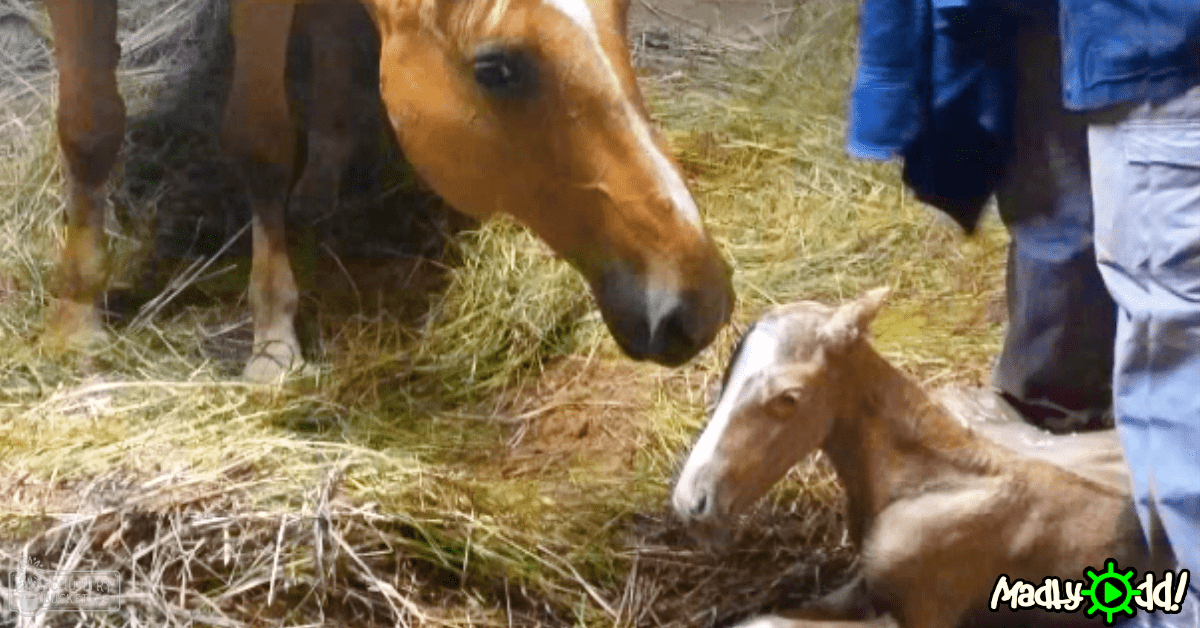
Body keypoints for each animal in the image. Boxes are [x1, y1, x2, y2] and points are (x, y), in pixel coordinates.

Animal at [41, 0, 735, 382]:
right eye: (497, 69)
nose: (701, 303)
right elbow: (88, 127)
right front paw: (76, 317)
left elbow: (260, 142)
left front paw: (273, 336)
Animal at [671, 289, 1167, 628]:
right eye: (725, 378)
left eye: (788, 398)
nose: (691, 501)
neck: (922, 479)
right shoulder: (864, 583)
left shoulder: (922, 613)